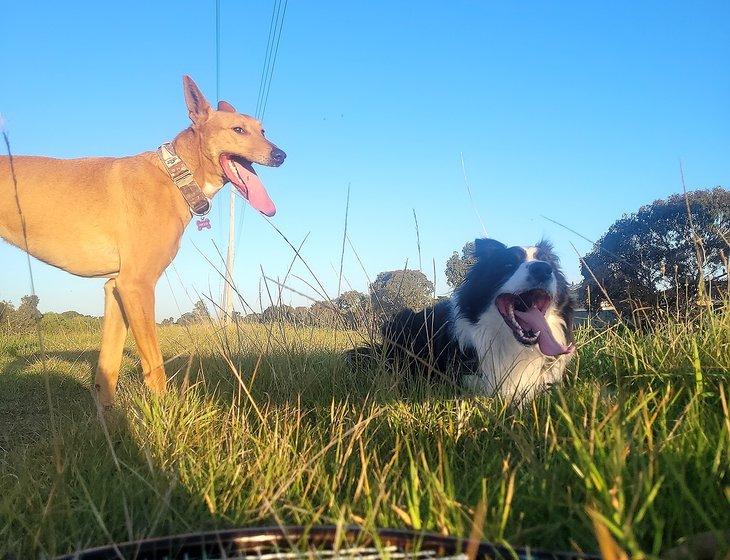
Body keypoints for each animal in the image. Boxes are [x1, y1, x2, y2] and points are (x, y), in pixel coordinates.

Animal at [0, 75, 284, 406]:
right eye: (238, 129)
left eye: (263, 131)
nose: (281, 155)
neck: (175, 176)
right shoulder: (137, 284)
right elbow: (155, 367)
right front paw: (164, 415)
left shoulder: (115, 287)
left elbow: (106, 373)